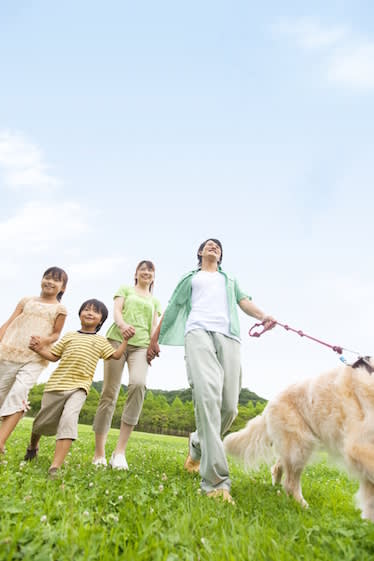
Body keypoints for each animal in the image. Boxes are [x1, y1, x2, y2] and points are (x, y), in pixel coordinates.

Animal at [224, 356, 374, 520]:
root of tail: (269, 404)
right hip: (300, 445)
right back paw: (303, 506)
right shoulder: (358, 446)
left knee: (278, 467)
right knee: (290, 483)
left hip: (294, 447)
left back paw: (276, 487)